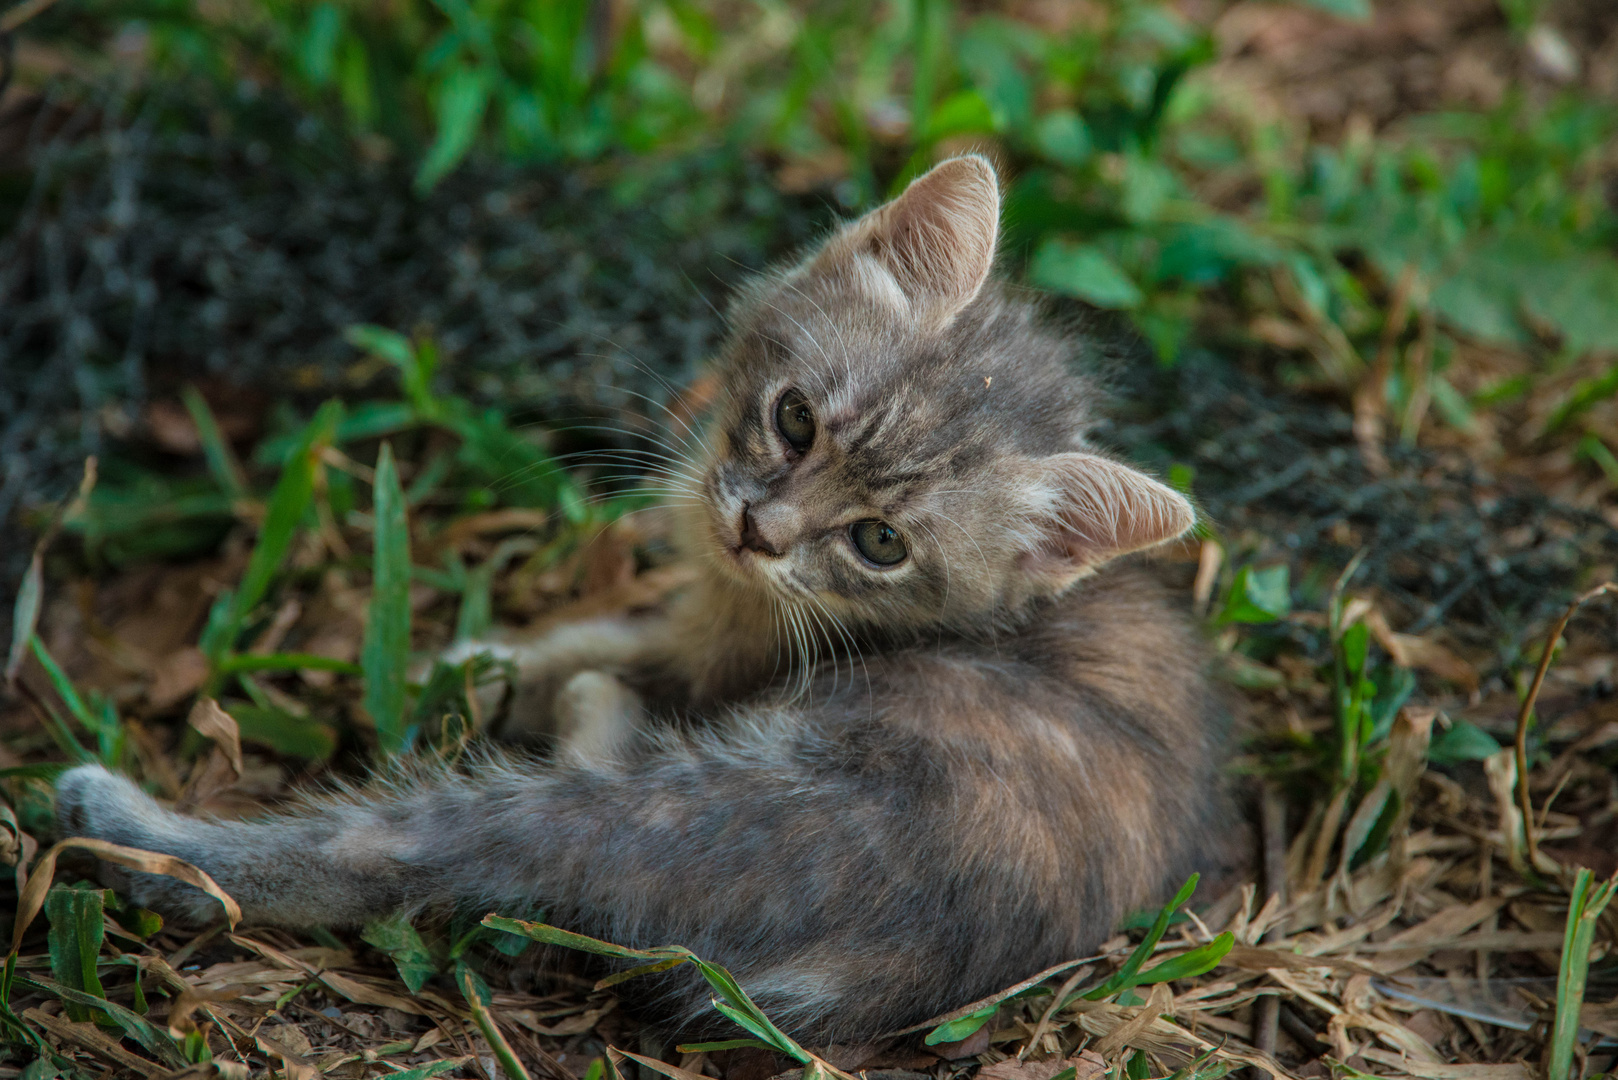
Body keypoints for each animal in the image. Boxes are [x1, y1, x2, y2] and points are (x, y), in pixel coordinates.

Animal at [57, 156, 1229, 1042]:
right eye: (796, 419)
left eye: (880, 543)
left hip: (700, 800)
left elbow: (612, 651)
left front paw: (494, 673)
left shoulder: (716, 661)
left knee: (405, 847)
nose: (760, 530)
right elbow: (597, 630)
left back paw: (124, 826)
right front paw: (473, 663)